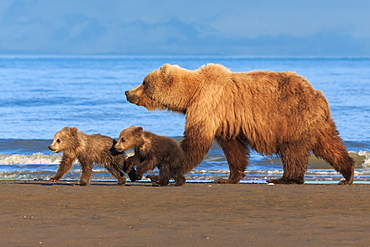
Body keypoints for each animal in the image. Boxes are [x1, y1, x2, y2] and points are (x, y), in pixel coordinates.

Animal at [125, 62, 356, 184]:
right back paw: (348, 173)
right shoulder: (226, 121)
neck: (191, 93)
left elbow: (195, 141)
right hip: (317, 122)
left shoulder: (208, 106)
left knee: (293, 149)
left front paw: (159, 173)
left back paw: (284, 178)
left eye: (144, 82)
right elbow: (233, 149)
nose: (127, 92)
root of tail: (318, 95)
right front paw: (228, 178)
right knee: (330, 144)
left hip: (292, 117)